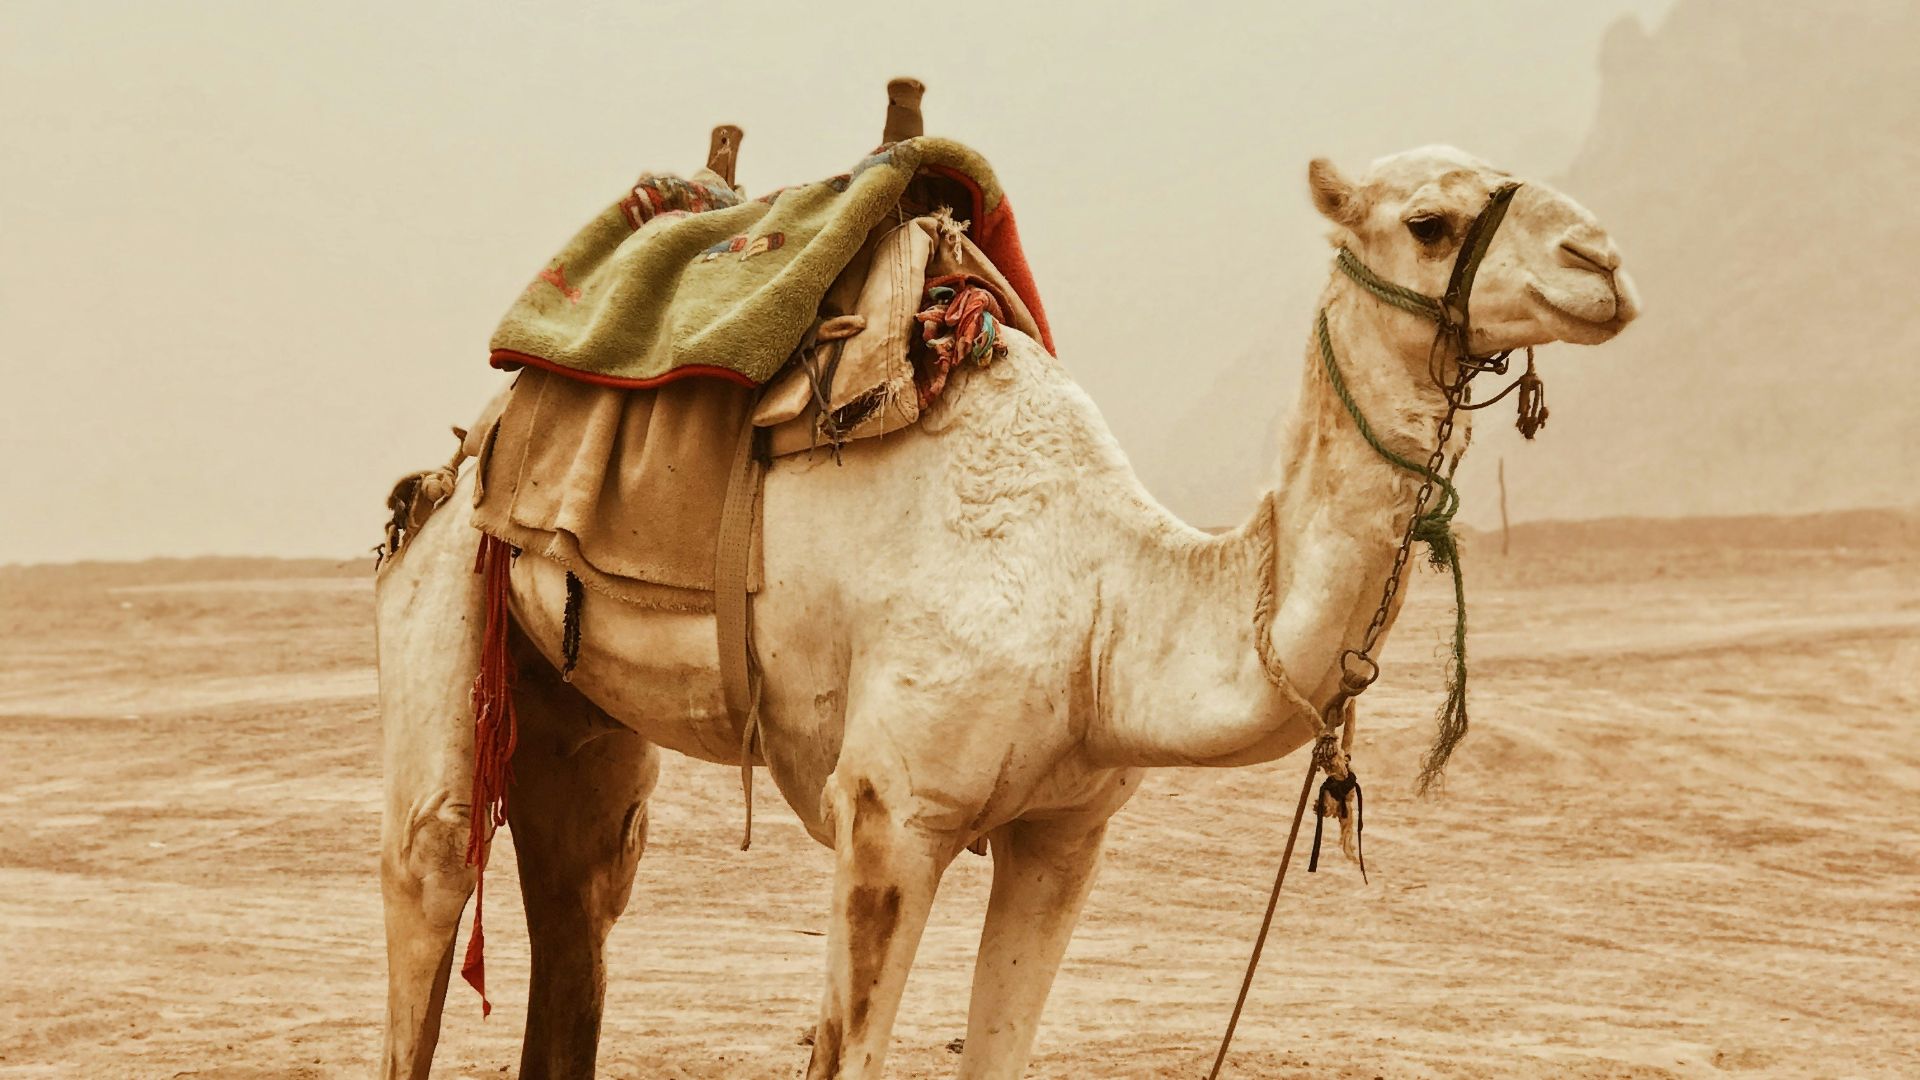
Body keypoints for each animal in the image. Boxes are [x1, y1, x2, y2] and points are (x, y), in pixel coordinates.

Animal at [375, 144, 1638, 1079]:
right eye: (1429, 222)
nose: (1604, 261)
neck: (1105, 606)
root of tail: (472, 445)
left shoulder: (1065, 831)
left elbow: (1000, 1046)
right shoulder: (891, 810)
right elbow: (851, 1048)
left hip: (570, 701)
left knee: (582, 885)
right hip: (444, 591)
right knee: (431, 866)